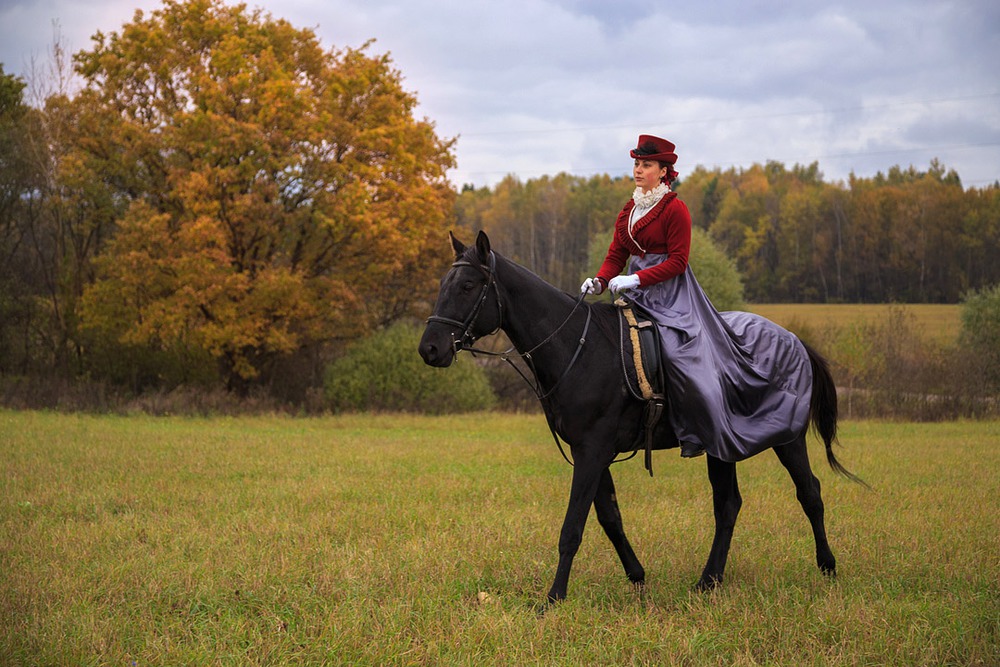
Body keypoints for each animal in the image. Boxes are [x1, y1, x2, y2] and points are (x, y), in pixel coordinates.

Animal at [418, 232, 864, 608]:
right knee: (728, 505)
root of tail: (793, 339)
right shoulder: (590, 451)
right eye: (443, 285)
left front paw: (554, 598)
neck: (576, 348)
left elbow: (573, 527)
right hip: (722, 445)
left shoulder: (592, 451)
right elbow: (609, 518)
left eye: (467, 287)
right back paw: (709, 580)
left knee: (809, 492)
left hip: (787, 440)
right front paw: (637, 577)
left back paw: (827, 567)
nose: (430, 349)